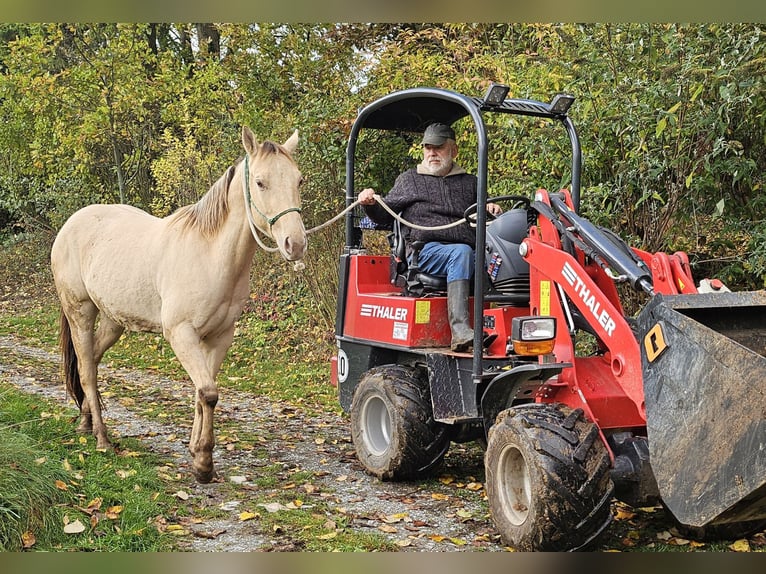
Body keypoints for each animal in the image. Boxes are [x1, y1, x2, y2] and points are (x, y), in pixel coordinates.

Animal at [50, 126, 307, 483]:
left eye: (299, 180)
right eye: (260, 182)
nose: (295, 244)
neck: (210, 254)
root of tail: (71, 223)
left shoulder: (220, 337)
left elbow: (202, 393)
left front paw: (197, 451)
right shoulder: (181, 334)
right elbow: (209, 393)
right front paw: (204, 464)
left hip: (114, 321)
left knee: (93, 361)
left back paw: (86, 423)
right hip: (80, 311)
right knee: (87, 369)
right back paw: (102, 438)